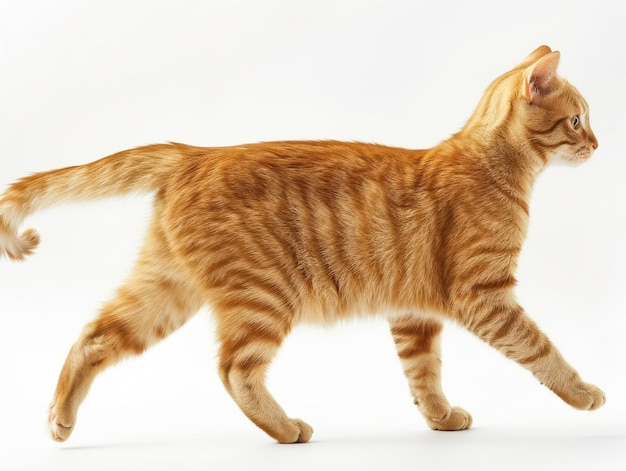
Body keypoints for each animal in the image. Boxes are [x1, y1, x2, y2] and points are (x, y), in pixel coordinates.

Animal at [1, 46, 604, 444]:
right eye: (577, 120)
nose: (598, 144)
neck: (494, 166)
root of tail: (195, 153)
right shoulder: (485, 294)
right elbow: (541, 348)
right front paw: (582, 393)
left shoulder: (413, 312)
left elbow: (423, 375)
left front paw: (440, 419)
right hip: (262, 297)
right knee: (233, 370)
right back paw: (286, 427)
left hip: (165, 289)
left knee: (94, 337)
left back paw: (59, 419)